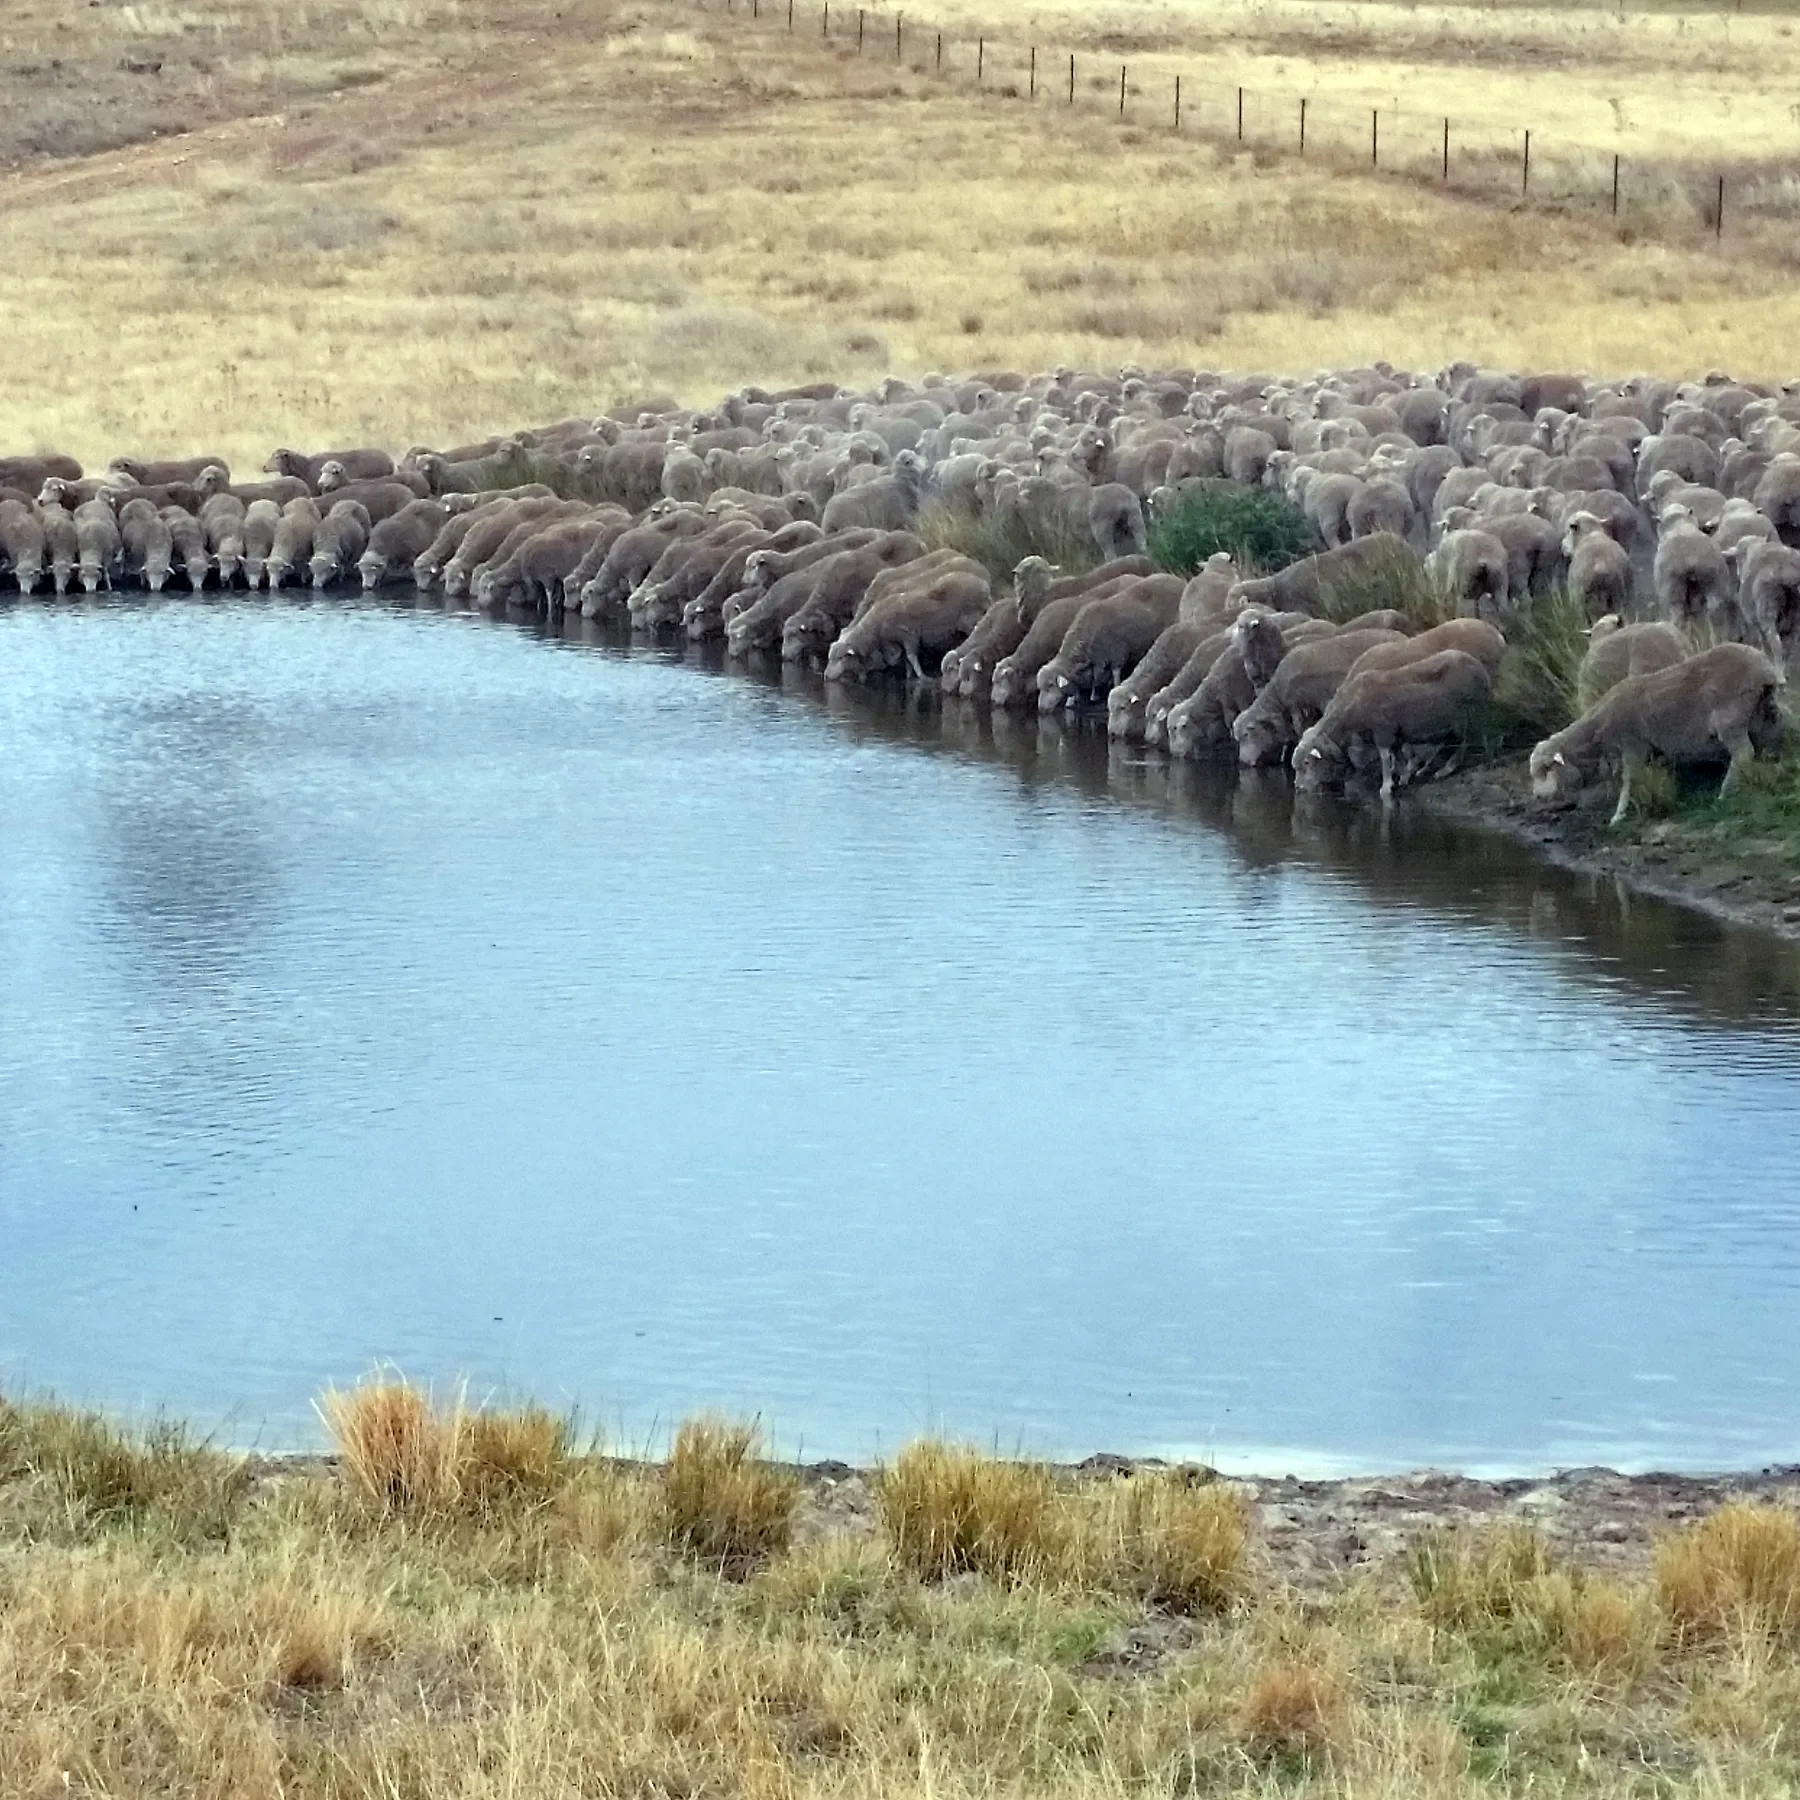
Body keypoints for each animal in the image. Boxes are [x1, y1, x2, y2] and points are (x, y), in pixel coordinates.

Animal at [1294, 649, 1495, 799]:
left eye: (1307, 763)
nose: (1297, 787)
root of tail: (1480, 669)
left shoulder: (1383, 730)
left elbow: (1384, 757)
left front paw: (1386, 786)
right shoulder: (1395, 733)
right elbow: (1398, 756)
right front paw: (1403, 776)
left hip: (1467, 716)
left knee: (1466, 741)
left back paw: (1447, 769)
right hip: (1446, 721)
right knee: (1446, 742)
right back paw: (1425, 769)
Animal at [1530, 643, 1784, 823]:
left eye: (1546, 768)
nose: (1538, 797)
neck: (1597, 733)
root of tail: (1764, 667)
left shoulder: (1633, 745)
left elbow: (1629, 779)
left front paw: (1618, 815)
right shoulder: (1653, 749)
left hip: (1731, 719)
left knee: (1743, 753)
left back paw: (1725, 793)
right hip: (1762, 713)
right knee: (1768, 743)